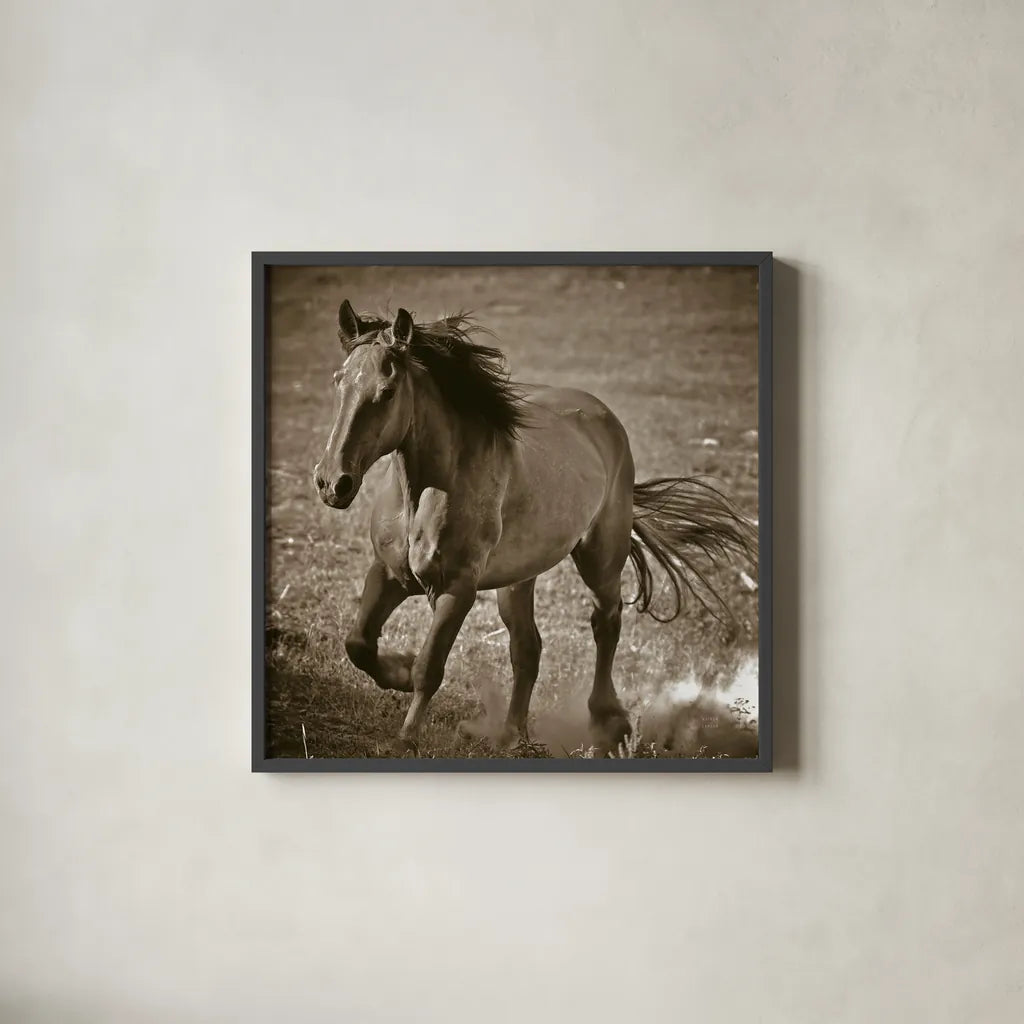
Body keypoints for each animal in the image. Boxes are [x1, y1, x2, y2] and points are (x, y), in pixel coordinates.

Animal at [312, 299, 755, 755]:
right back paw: (511, 736)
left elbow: (429, 667)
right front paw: (397, 671)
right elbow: (359, 643)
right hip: (518, 579)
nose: (332, 483)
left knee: (606, 623)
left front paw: (406, 738)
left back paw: (607, 723)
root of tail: (605, 418)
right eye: (338, 382)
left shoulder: (457, 590)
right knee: (528, 647)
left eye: (387, 392)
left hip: (600, 559)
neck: (426, 490)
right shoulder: (389, 573)